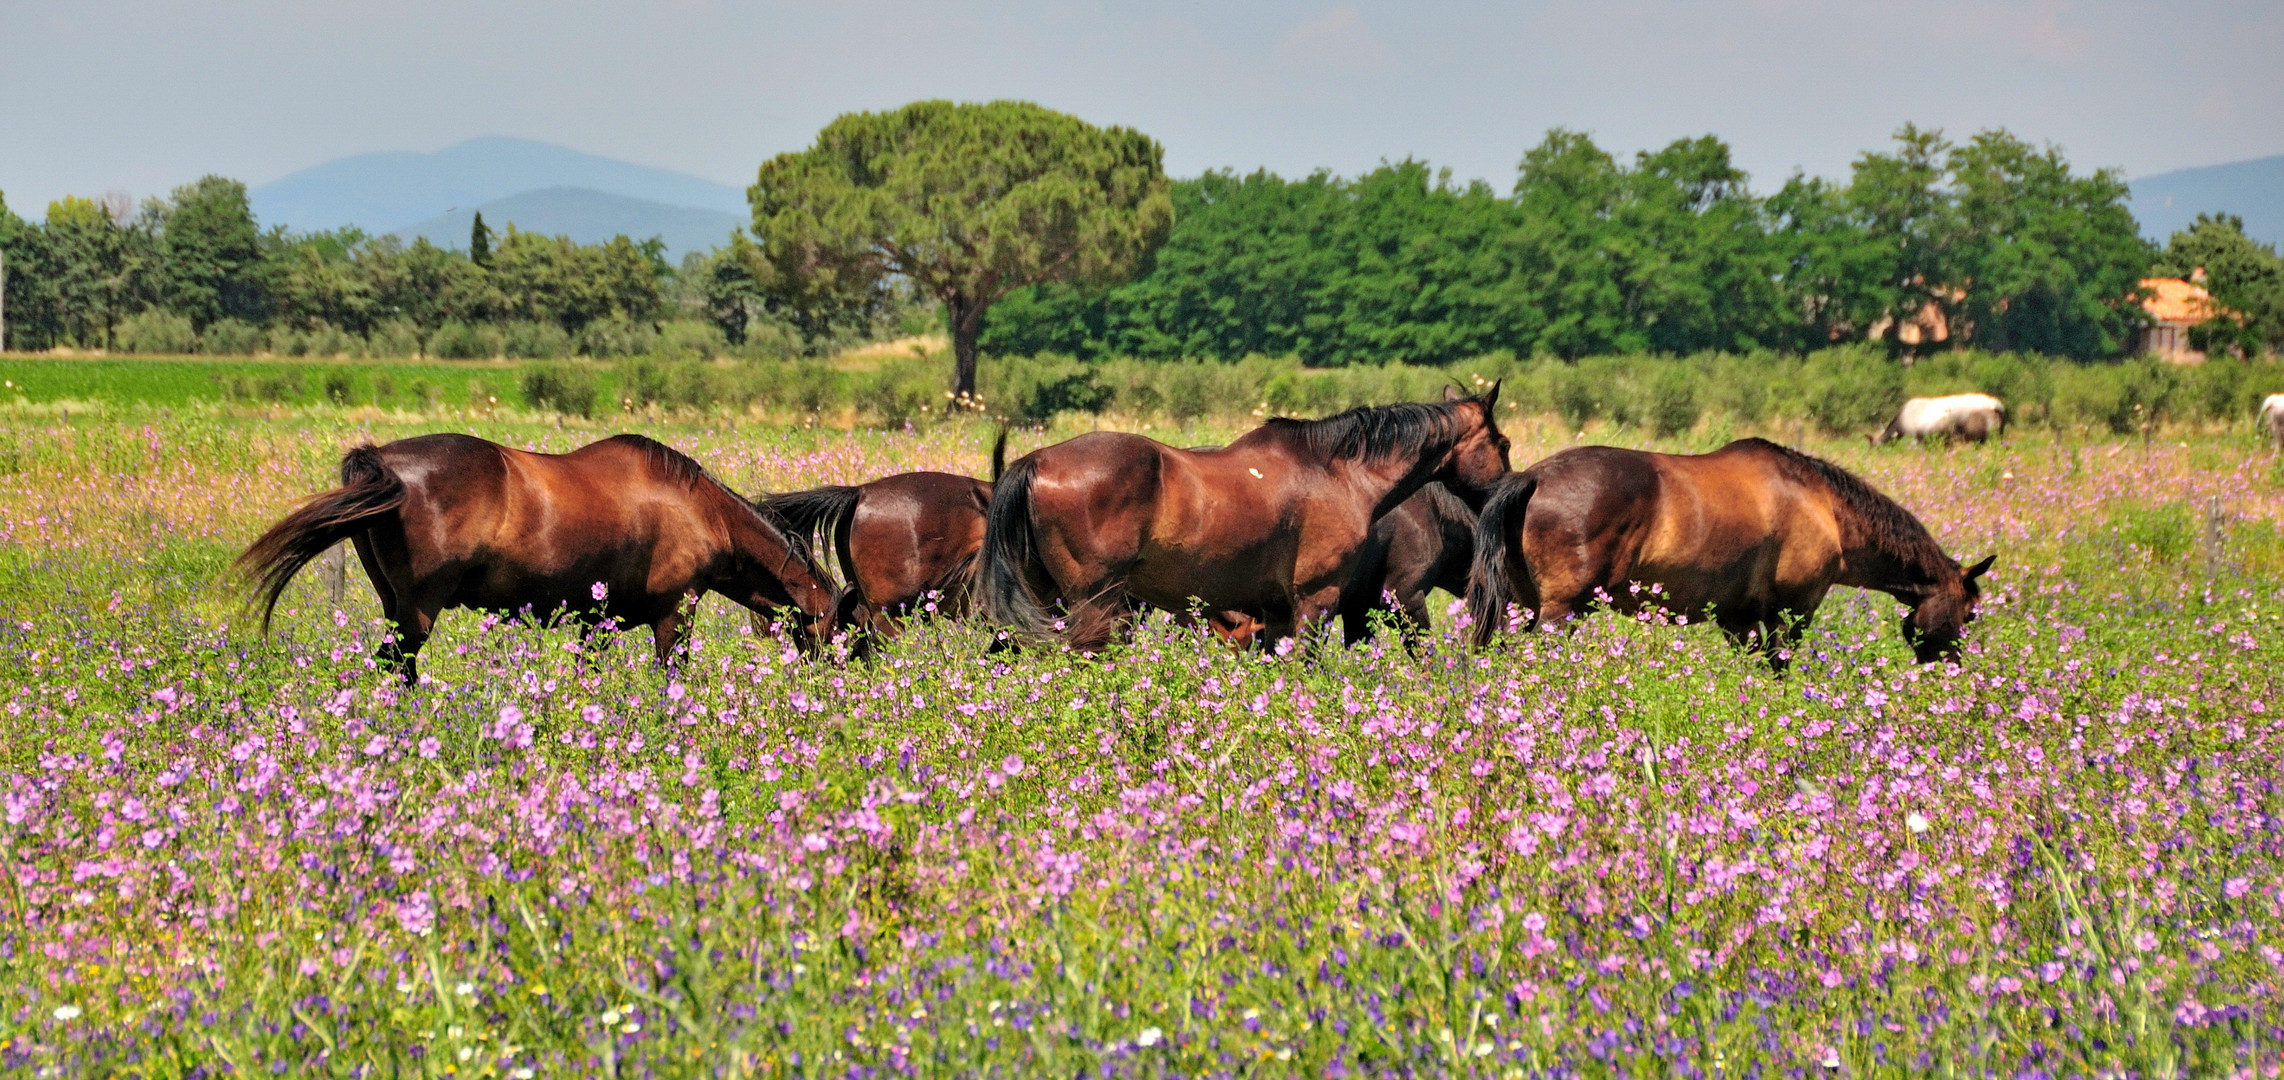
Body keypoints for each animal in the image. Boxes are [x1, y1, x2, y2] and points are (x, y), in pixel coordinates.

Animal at [236, 431, 840, 675]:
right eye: (836, 628)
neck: (700, 511)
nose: (828, 684)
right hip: (417, 612)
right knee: (397, 666)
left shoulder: (597, 622)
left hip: (394, 606)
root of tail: (383, 462)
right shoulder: (674, 614)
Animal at [986, 385, 1516, 648]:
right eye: (1504, 443)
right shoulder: (1318, 600)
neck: (1337, 472)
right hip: (1097, 606)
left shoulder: (1277, 611)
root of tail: (1034, 461)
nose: (1507, 495)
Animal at [1470, 433, 1991, 662]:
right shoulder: (1790, 615)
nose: (1952, 665)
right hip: (1560, 613)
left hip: (1522, 608)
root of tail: (1533, 478)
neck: (1824, 505)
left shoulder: (1737, 621)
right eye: (1967, 614)